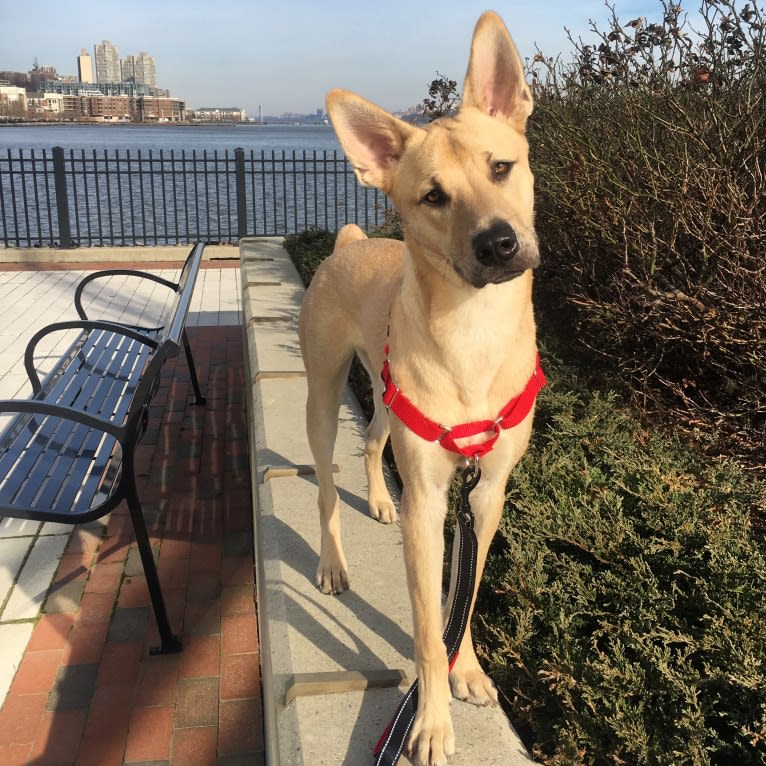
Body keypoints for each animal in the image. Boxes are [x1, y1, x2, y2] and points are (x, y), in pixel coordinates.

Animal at [296, 12, 544, 766]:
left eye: (502, 166)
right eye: (433, 196)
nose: (499, 243)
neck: (473, 333)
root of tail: (350, 241)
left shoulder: (486, 494)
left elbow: (465, 596)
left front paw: (469, 670)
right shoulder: (430, 504)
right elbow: (430, 629)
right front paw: (431, 720)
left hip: (385, 394)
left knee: (373, 441)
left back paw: (378, 497)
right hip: (322, 395)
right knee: (326, 483)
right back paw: (333, 562)